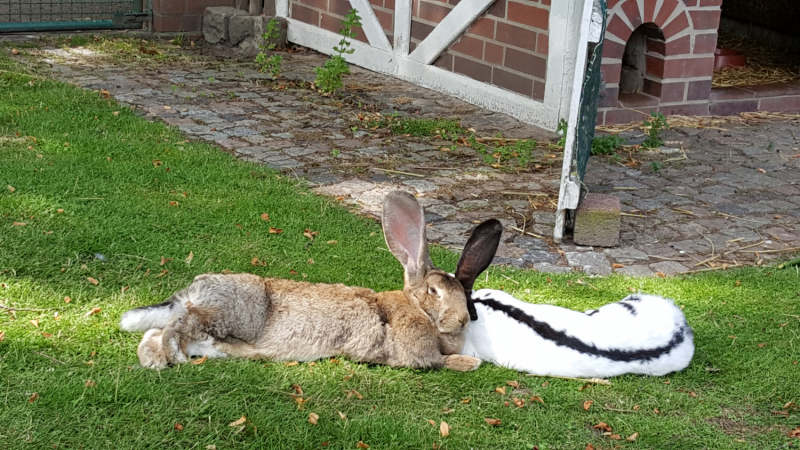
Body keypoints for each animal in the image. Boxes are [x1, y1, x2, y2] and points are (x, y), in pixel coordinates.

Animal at [119, 190, 500, 370]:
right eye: (435, 291)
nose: (462, 320)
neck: (418, 311)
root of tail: (193, 290)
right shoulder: (413, 353)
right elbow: (438, 362)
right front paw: (470, 363)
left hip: (215, 337)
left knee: (158, 333)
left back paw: (156, 360)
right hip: (230, 315)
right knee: (177, 326)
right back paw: (170, 357)